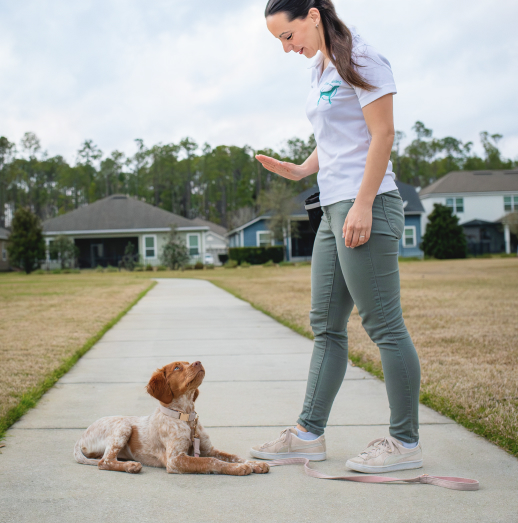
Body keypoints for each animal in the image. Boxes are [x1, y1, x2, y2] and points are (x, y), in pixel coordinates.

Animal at [76, 362, 272, 476]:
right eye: (177, 368)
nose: (198, 361)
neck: (186, 418)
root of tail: (81, 437)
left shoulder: (208, 449)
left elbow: (233, 456)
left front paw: (254, 463)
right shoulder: (175, 459)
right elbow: (210, 461)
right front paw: (239, 469)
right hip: (123, 426)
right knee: (104, 461)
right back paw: (130, 466)